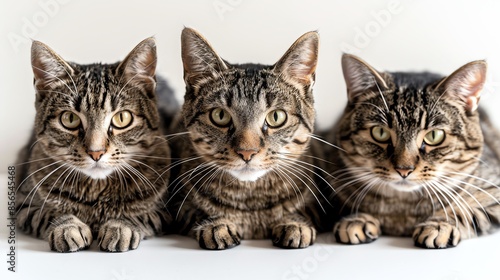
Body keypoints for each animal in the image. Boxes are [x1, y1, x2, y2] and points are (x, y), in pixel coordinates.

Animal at [16, 36, 176, 253]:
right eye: (70, 119)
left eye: (122, 118)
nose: (96, 152)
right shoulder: (23, 204)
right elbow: (48, 213)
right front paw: (67, 227)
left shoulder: (165, 211)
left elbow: (141, 214)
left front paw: (120, 226)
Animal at [170, 28, 322, 250]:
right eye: (220, 116)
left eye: (276, 117)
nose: (247, 152)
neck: (251, 204)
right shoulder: (178, 206)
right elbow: (195, 211)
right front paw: (216, 225)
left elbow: (304, 211)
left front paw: (295, 223)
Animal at [322, 53, 500, 248]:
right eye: (380, 132)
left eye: (434, 135)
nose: (404, 170)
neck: (401, 211)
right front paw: (357, 219)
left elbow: (464, 211)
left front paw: (439, 225)